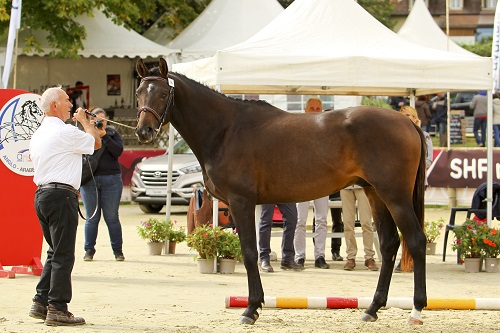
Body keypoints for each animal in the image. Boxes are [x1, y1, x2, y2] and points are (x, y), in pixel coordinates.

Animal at [135, 57, 428, 324]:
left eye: (163, 93)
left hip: (395, 198)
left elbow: (250, 253)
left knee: (416, 241)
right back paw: (372, 309)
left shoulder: (241, 202)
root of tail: (408, 122)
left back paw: (415, 310)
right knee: (389, 245)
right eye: (139, 93)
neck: (226, 130)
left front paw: (251, 309)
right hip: (375, 195)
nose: (144, 131)